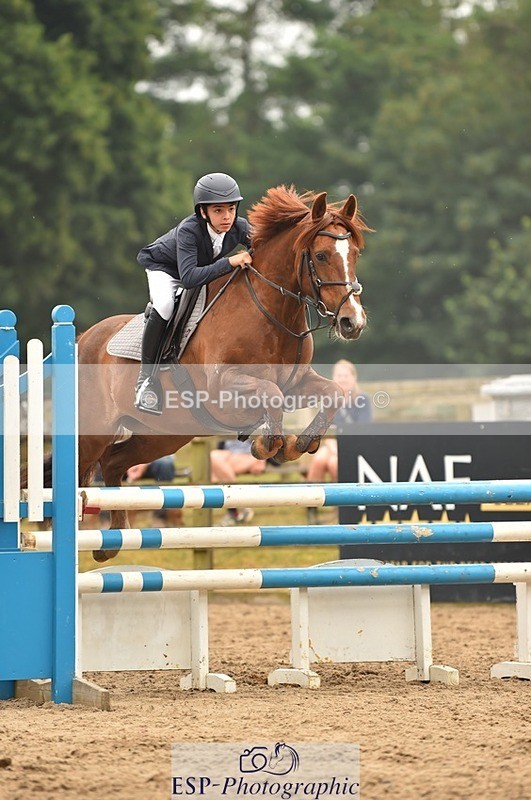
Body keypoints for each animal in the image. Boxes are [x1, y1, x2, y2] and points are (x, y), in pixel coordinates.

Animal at [75, 185, 370, 561]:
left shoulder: (297, 382)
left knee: (113, 462)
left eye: (355, 253)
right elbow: (270, 396)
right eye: (320, 255)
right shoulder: (224, 388)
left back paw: (113, 540)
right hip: (95, 431)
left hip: (163, 434)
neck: (271, 311)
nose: (352, 322)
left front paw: (299, 444)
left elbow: (334, 393)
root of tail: (83, 338)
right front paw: (269, 446)